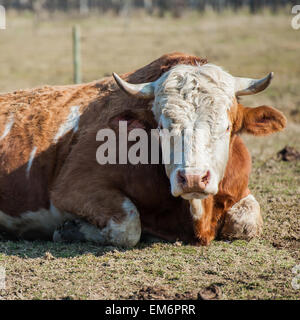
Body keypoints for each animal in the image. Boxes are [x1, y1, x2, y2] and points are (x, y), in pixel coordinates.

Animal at [0, 53, 286, 248]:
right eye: (162, 126)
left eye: (227, 127)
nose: (193, 178)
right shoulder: (72, 187)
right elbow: (128, 226)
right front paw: (72, 230)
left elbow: (247, 222)